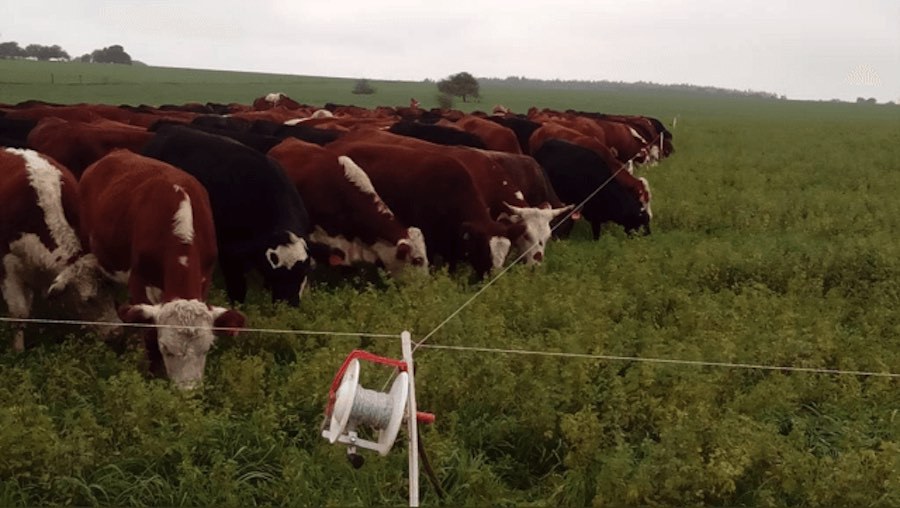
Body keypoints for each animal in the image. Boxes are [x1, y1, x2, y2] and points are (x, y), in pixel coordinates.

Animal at [76, 151, 246, 388]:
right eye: (166, 348)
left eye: (207, 348)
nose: (188, 391)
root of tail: (116, 153)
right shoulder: (139, 280)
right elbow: (148, 332)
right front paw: (152, 375)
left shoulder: (205, 278)